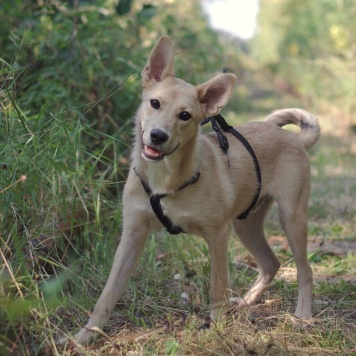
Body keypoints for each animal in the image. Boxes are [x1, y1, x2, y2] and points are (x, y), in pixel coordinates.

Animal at [69, 36, 320, 344]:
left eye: (185, 115)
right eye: (154, 103)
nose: (158, 136)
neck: (166, 178)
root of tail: (294, 139)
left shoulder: (217, 234)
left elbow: (217, 287)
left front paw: (218, 329)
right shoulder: (132, 234)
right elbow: (108, 293)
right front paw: (85, 335)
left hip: (291, 218)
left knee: (304, 270)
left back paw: (302, 315)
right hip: (246, 225)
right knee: (270, 264)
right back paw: (246, 302)